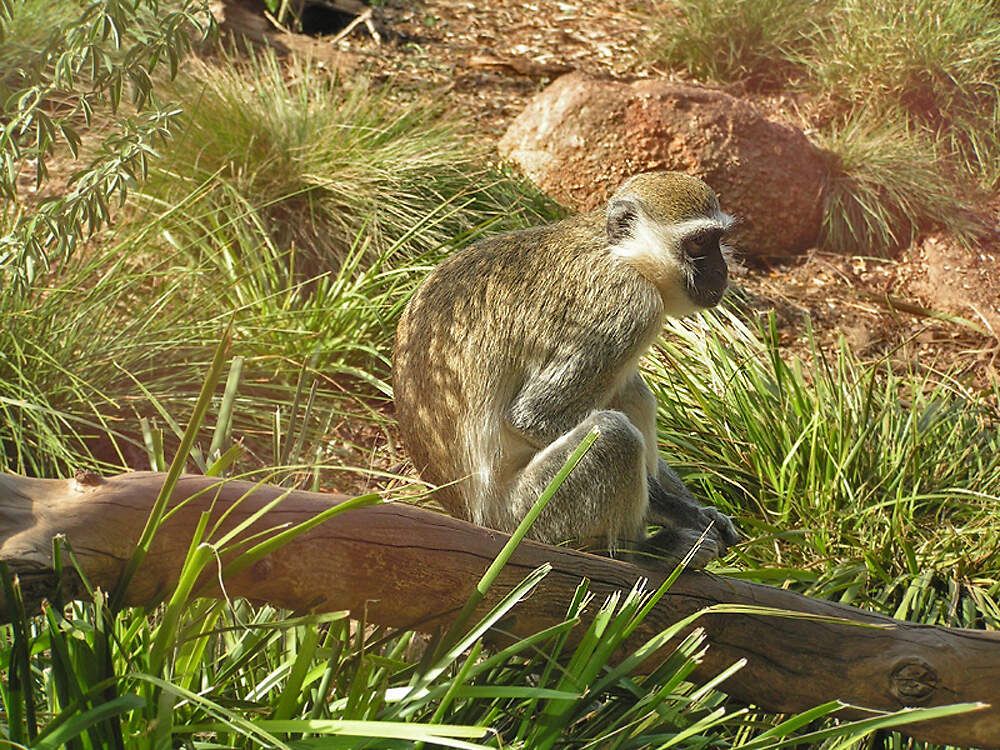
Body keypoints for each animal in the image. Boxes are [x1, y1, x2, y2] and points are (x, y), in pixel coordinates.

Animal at [394, 172, 740, 568]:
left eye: (717, 240)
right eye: (698, 242)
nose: (722, 271)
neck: (618, 253)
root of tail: (473, 520)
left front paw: (704, 512)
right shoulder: (629, 306)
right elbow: (532, 416)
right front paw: (681, 512)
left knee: (633, 395)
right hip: (529, 515)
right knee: (613, 435)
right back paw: (640, 554)